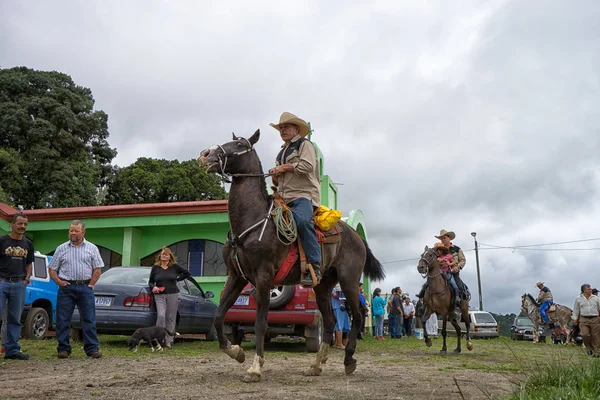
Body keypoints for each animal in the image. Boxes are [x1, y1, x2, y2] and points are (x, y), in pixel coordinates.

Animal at [197, 130, 384, 382]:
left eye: (239, 144)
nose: (205, 154)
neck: (251, 220)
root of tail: (356, 235)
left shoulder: (264, 278)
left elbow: (260, 323)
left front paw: (255, 368)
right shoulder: (237, 277)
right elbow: (218, 317)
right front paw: (236, 352)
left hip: (349, 281)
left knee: (358, 314)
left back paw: (348, 360)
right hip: (323, 285)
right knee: (330, 321)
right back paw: (316, 365)